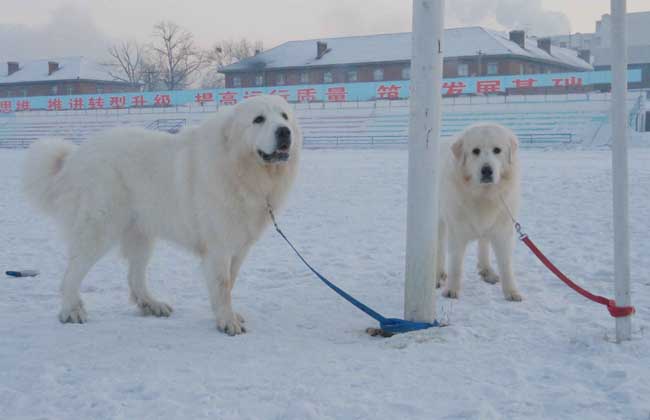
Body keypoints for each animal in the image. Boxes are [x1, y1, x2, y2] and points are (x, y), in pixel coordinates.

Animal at [22, 95, 302, 334]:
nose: (284, 131)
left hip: (141, 234)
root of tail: (74, 157)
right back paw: (71, 310)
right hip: (99, 227)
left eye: (284, 116)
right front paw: (227, 321)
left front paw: (227, 315)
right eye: (259, 119)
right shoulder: (219, 247)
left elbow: (229, 282)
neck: (243, 170)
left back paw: (151, 304)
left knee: (135, 277)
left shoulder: (239, 247)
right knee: (72, 272)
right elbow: (223, 286)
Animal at [436, 123, 520, 300]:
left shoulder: (503, 231)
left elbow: (506, 265)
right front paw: (451, 289)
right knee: (439, 247)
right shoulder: (457, 231)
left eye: (497, 150)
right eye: (476, 151)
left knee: (484, 244)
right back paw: (438, 275)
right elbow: (455, 264)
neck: (483, 195)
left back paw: (487, 270)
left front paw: (512, 291)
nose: (487, 170)